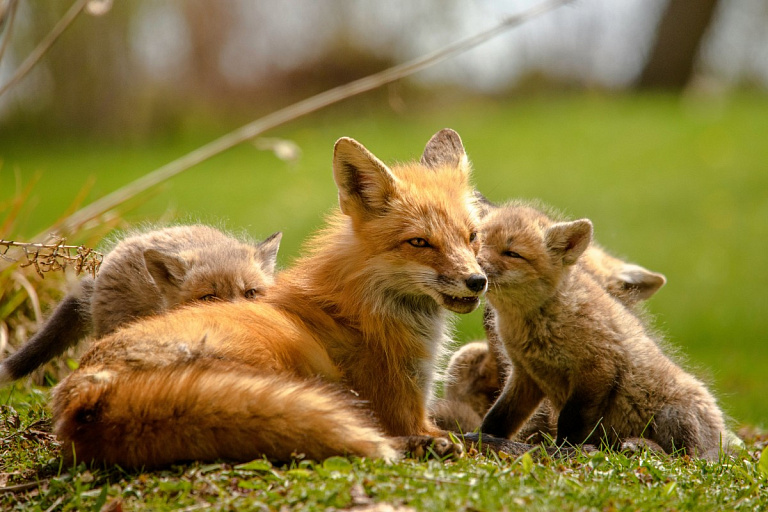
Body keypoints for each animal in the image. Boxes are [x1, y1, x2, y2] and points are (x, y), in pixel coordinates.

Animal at [50, 128, 488, 467]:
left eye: (472, 237)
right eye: (419, 243)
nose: (477, 281)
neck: (363, 307)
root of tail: (85, 393)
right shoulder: (404, 411)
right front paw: (438, 442)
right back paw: (421, 447)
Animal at [477, 202, 733, 458]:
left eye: (512, 254)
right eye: (476, 242)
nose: (475, 270)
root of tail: (721, 438)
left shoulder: (598, 368)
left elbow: (570, 421)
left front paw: (565, 451)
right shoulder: (526, 374)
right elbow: (498, 417)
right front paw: (482, 439)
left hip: (674, 416)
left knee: (684, 456)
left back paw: (642, 445)